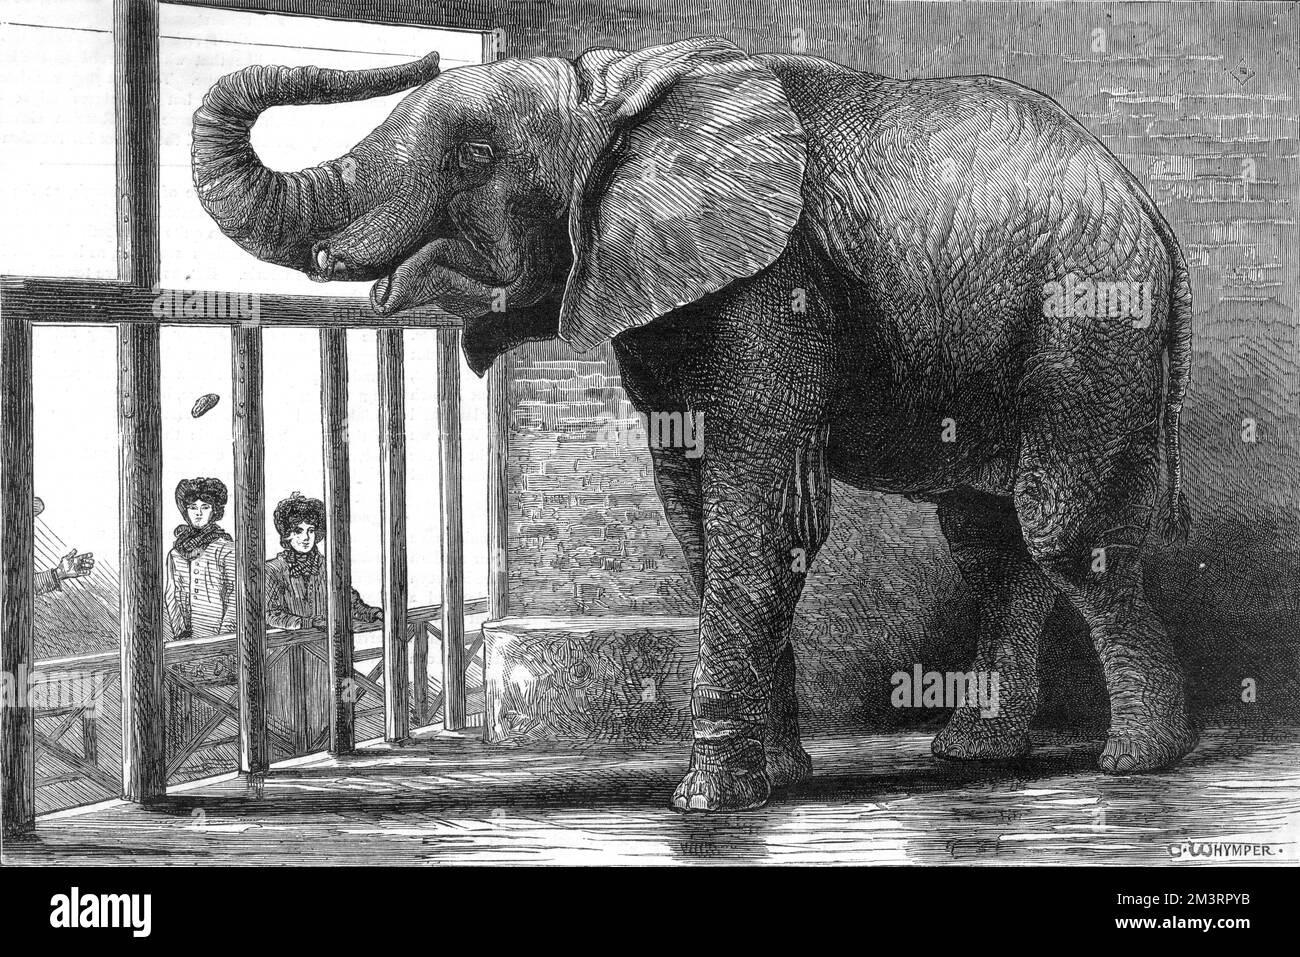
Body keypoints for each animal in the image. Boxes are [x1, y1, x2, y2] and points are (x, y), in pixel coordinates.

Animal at [192, 35, 1196, 806]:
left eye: (476, 157)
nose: (429, 49)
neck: (615, 98)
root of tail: (1151, 210)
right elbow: (699, 514)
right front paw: (779, 775)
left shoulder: (776, 278)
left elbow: (761, 509)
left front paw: (710, 799)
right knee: (991, 542)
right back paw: (977, 753)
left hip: (1089, 320)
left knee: (1061, 531)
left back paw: (1138, 762)